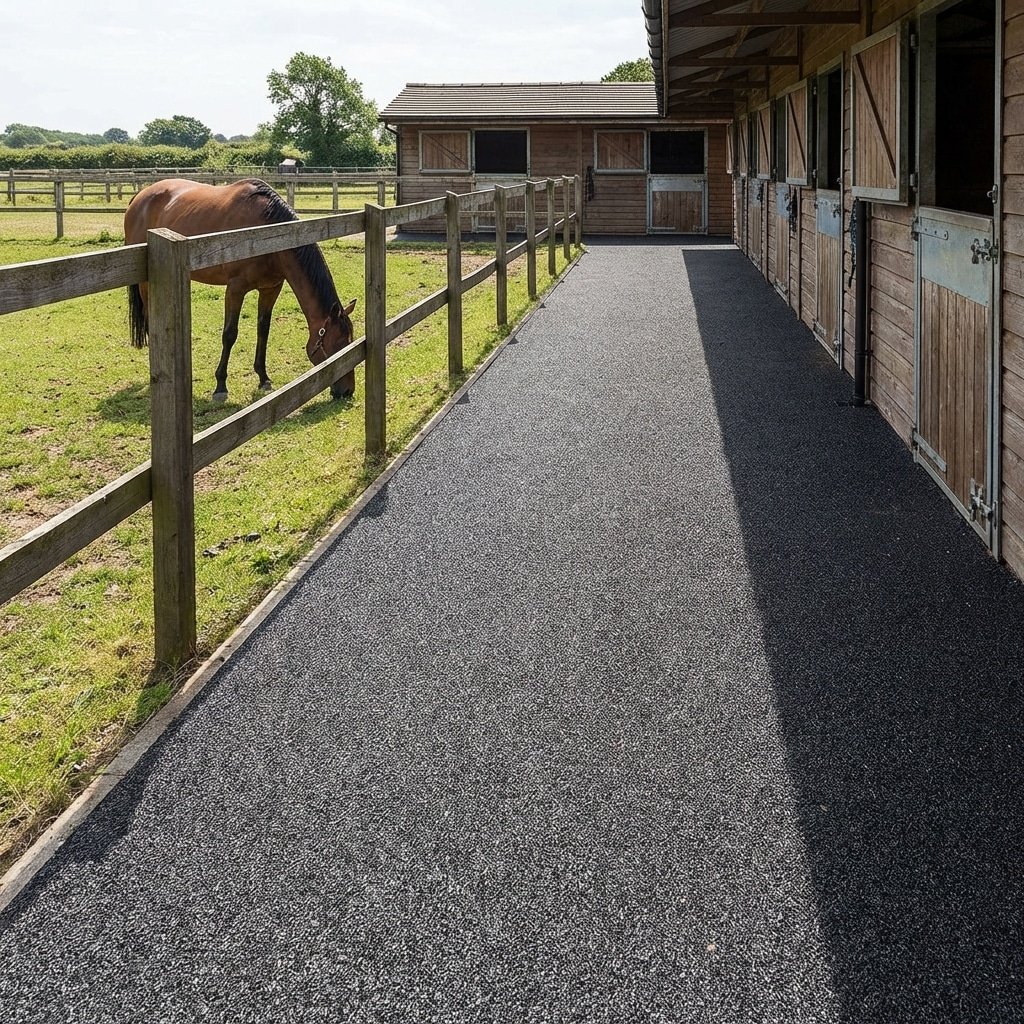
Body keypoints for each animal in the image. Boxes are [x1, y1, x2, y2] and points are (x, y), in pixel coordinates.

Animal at [124, 177, 357, 402]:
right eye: (337, 345)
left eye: (350, 341)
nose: (347, 391)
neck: (266, 232)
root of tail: (139, 196)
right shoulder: (235, 289)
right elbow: (230, 334)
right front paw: (220, 386)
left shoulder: (271, 289)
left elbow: (263, 329)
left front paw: (263, 378)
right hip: (146, 284)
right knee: (149, 319)